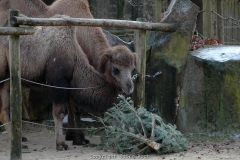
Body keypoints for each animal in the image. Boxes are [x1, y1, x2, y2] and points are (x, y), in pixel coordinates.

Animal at [0, 15, 135, 150]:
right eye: (116, 70)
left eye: (133, 69)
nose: (130, 87)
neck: (74, 59)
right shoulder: (58, 81)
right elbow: (60, 112)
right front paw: (61, 144)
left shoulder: (69, 85)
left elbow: (75, 109)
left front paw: (79, 139)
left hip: (7, 78)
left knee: (5, 110)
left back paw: (19, 140)